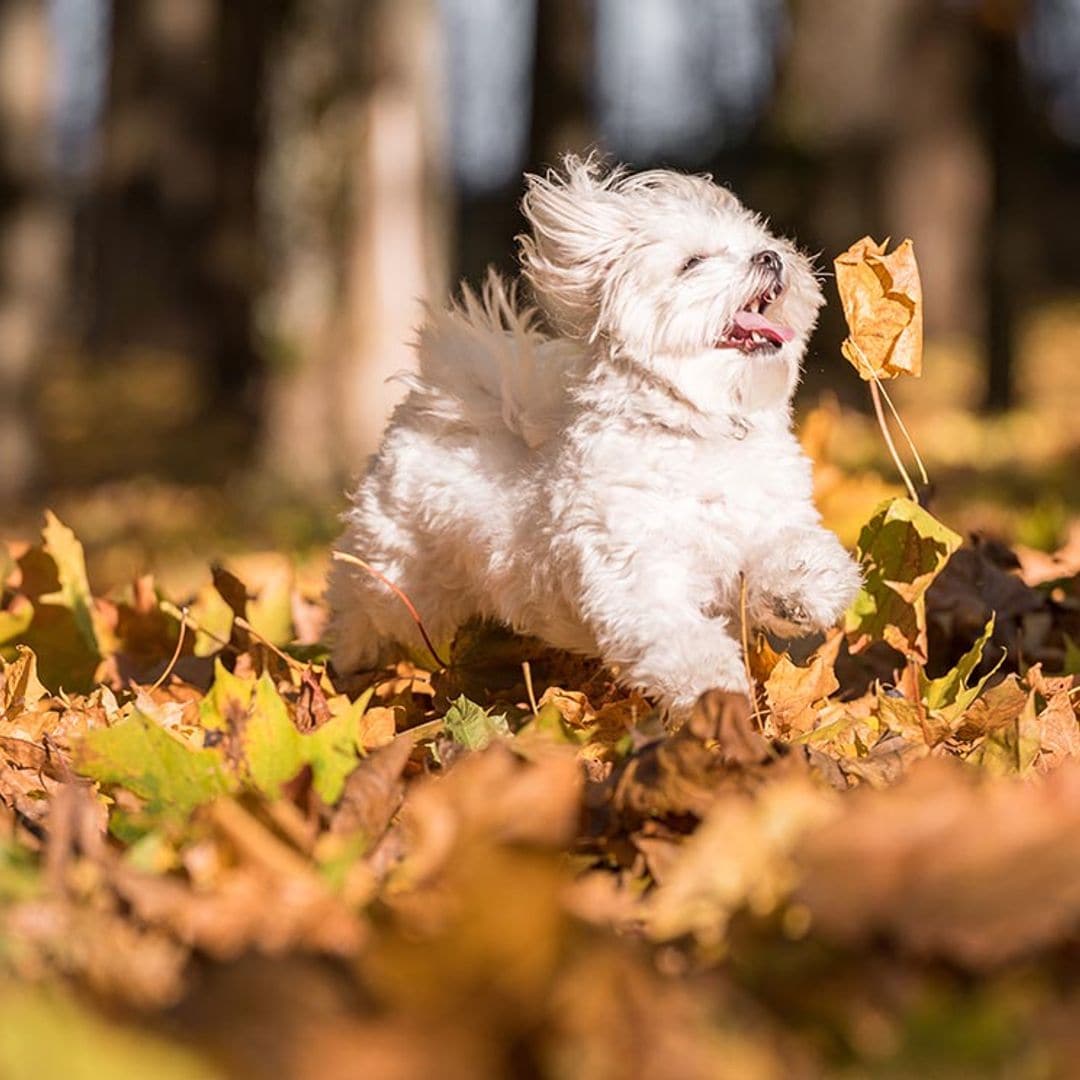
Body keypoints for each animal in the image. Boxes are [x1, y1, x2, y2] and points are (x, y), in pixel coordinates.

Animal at [328, 157, 859, 717]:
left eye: (761, 241)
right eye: (693, 262)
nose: (771, 257)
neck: (700, 427)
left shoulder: (770, 519)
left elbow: (792, 548)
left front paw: (802, 589)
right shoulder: (636, 572)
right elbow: (678, 636)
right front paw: (711, 688)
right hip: (397, 579)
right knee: (361, 606)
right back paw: (349, 666)